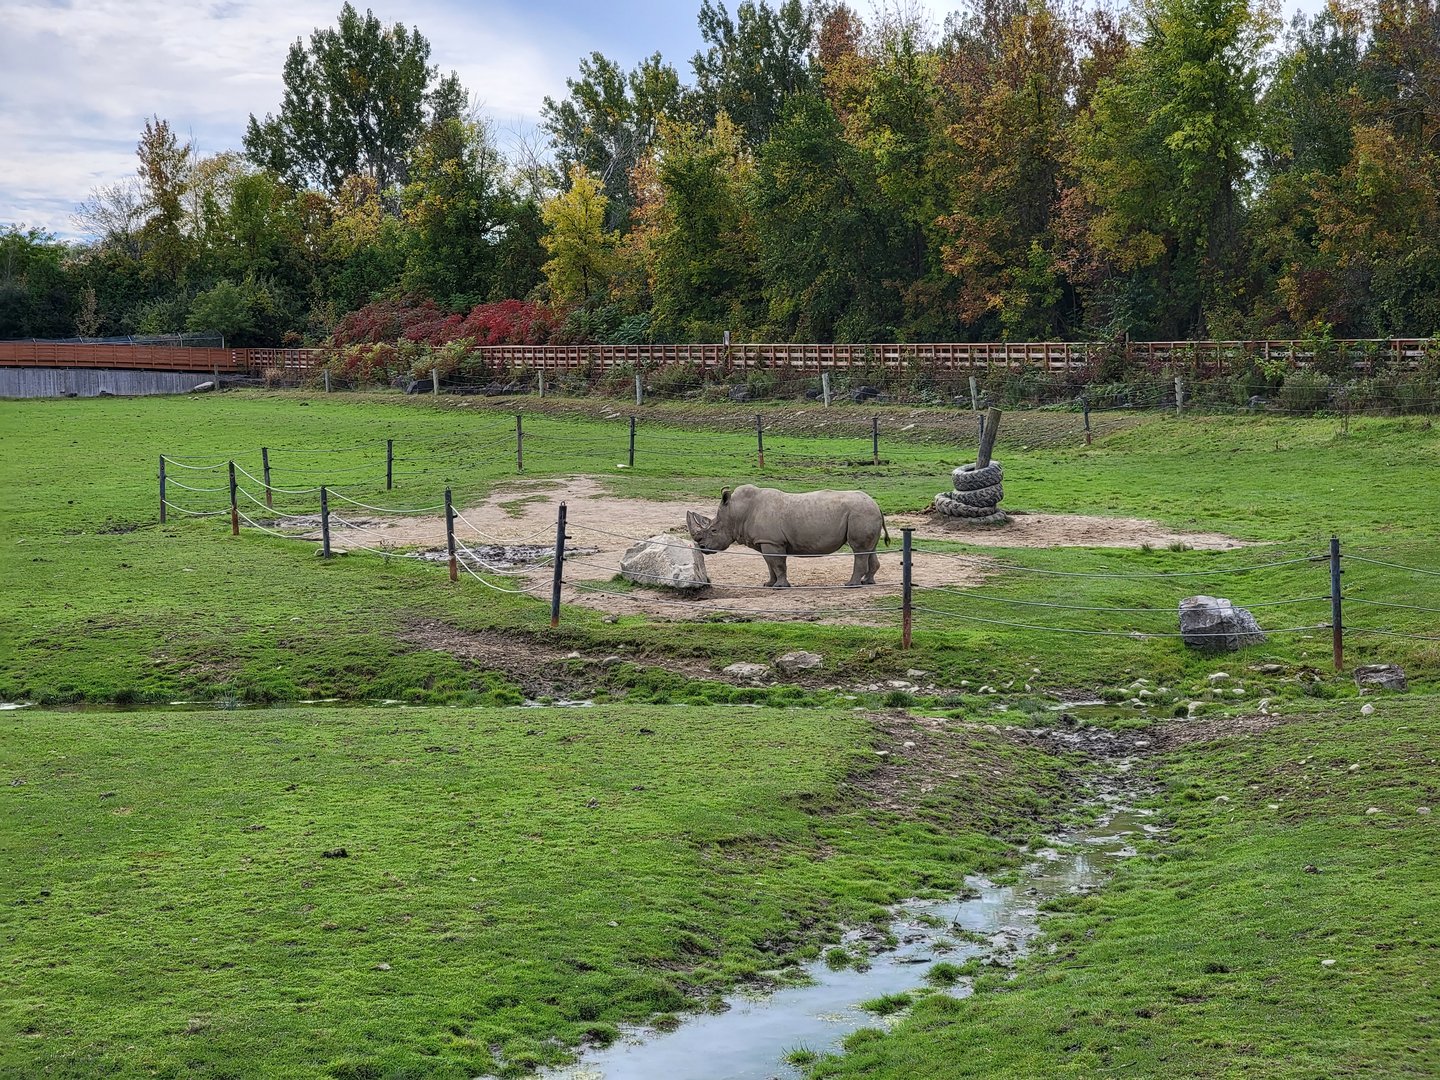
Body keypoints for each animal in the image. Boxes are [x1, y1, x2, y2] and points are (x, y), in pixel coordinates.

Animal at [686, 485, 889, 588]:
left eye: (713, 531)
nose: (702, 548)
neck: (736, 513)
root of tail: (876, 504)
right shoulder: (765, 541)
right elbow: (769, 564)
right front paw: (768, 584)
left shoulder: (773, 541)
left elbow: (778, 564)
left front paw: (780, 586)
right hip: (865, 512)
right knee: (869, 549)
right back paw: (867, 582)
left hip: (860, 513)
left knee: (859, 550)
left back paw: (851, 584)